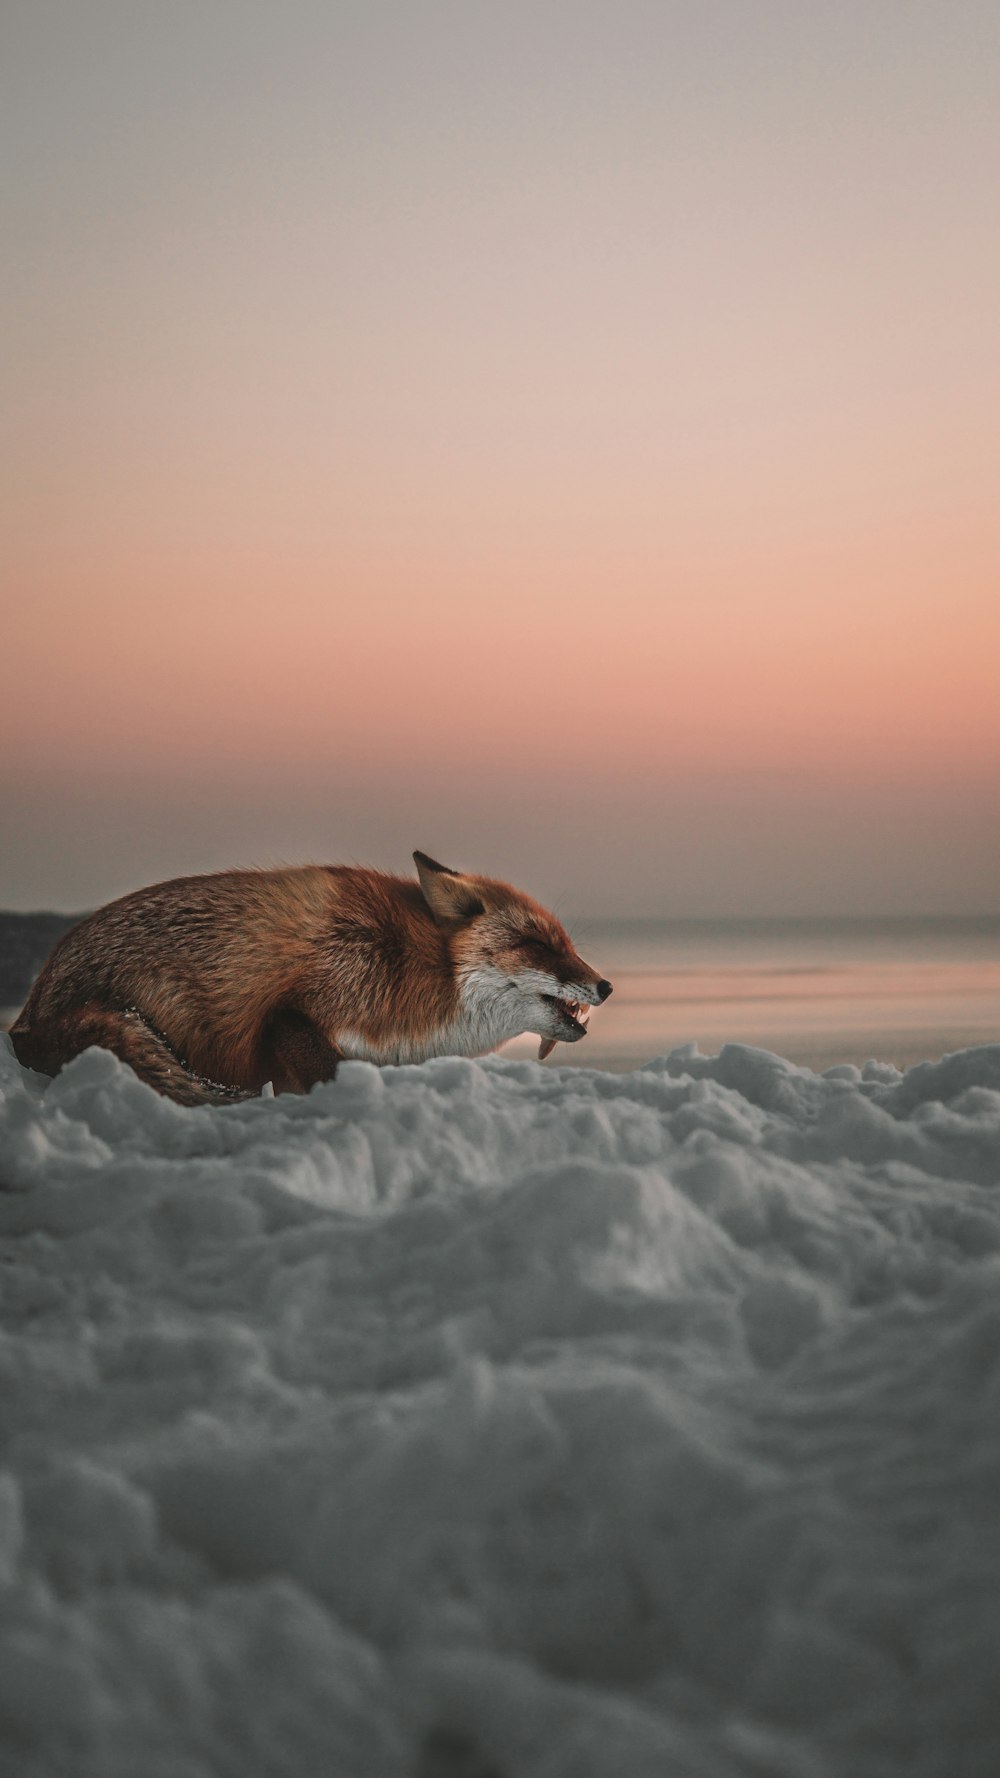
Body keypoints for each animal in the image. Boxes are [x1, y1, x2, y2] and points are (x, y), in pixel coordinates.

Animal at [11, 853, 612, 1102]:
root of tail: (28, 1013)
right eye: (540, 946)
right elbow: (325, 1067)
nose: (605, 987)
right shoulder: (296, 1006)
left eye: (568, 945)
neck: (412, 965)